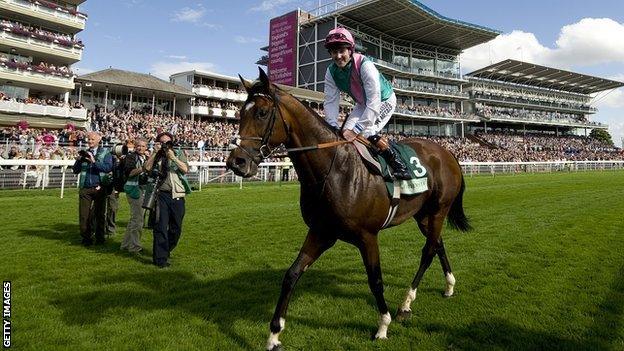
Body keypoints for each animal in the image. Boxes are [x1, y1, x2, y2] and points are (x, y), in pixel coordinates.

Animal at [227, 67, 470, 350]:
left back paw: (405, 304)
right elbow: (291, 274)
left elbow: (375, 279)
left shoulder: (368, 236)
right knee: (438, 244)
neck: (334, 170)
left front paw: (383, 325)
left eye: (262, 113)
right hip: (423, 215)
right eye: (240, 113)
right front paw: (274, 335)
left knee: (429, 250)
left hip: (439, 210)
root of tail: (448, 153)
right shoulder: (321, 232)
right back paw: (448, 286)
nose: (236, 162)